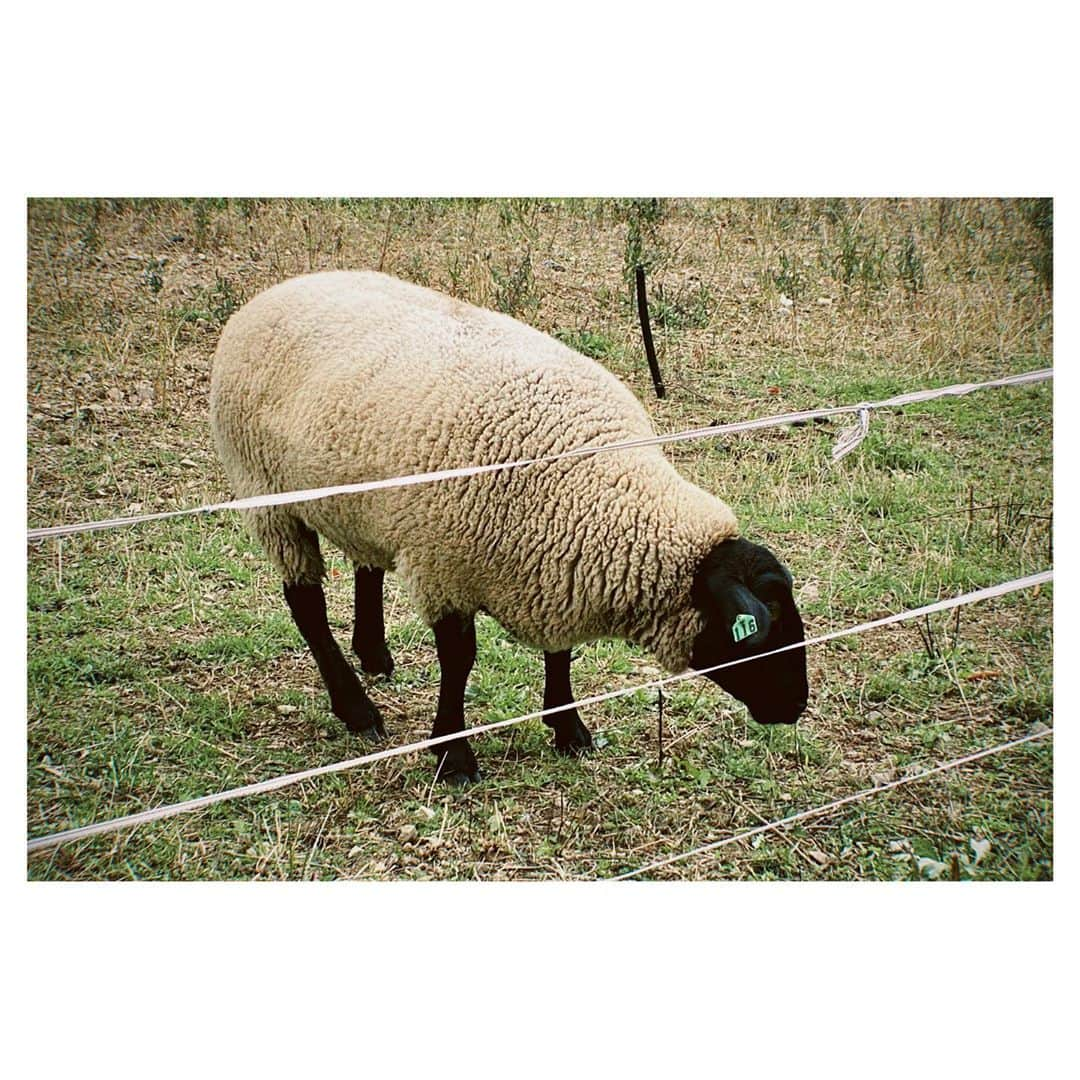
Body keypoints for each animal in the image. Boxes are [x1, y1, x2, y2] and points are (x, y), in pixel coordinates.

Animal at [208, 267, 812, 777]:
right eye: (763, 629)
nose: (795, 706)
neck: (599, 486)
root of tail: (280, 289)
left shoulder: (559, 563)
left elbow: (560, 651)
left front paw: (568, 728)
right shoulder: (444, 568)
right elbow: (459, 661)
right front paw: (452, 755)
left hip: (360, 500)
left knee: (367, 565)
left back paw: (375, 655)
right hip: (266, 492)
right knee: (305, 602)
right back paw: (356, 707)